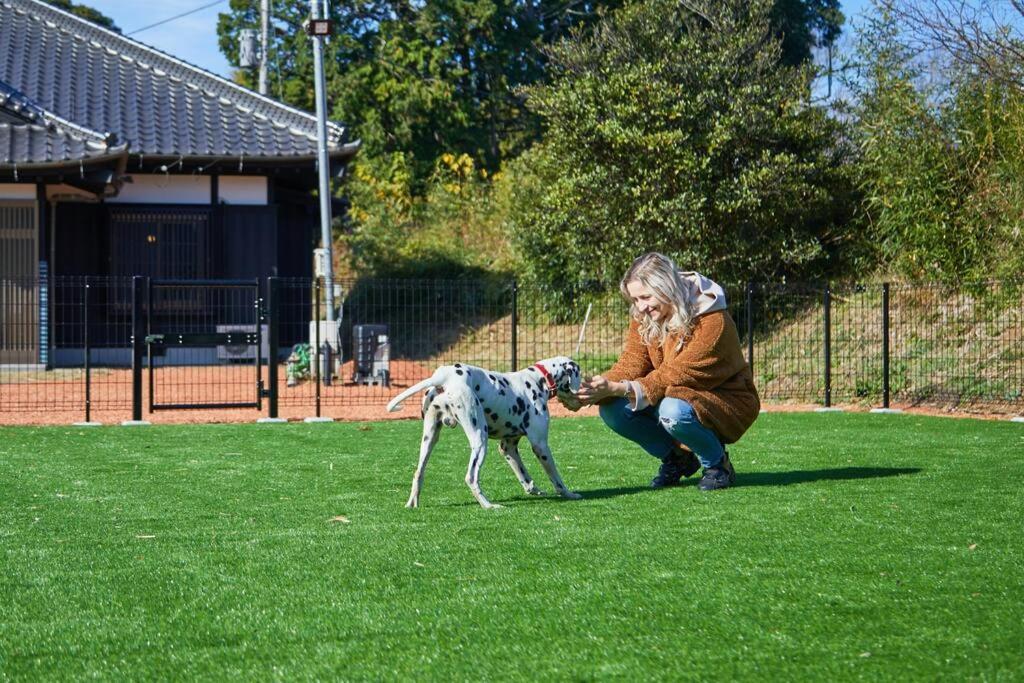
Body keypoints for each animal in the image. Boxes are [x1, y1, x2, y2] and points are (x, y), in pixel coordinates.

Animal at [387, 358, 585, 507]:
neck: (538, 379)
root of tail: (444, 375)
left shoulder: (508, 447)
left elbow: (524, 476)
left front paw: (534, 490)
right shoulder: (540, 445)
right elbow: (557, 479)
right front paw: (569, 494)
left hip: (429, 440)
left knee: (418, 473)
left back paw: (412, 503)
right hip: (479, 439)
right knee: (471, 477)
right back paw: (488, 505)